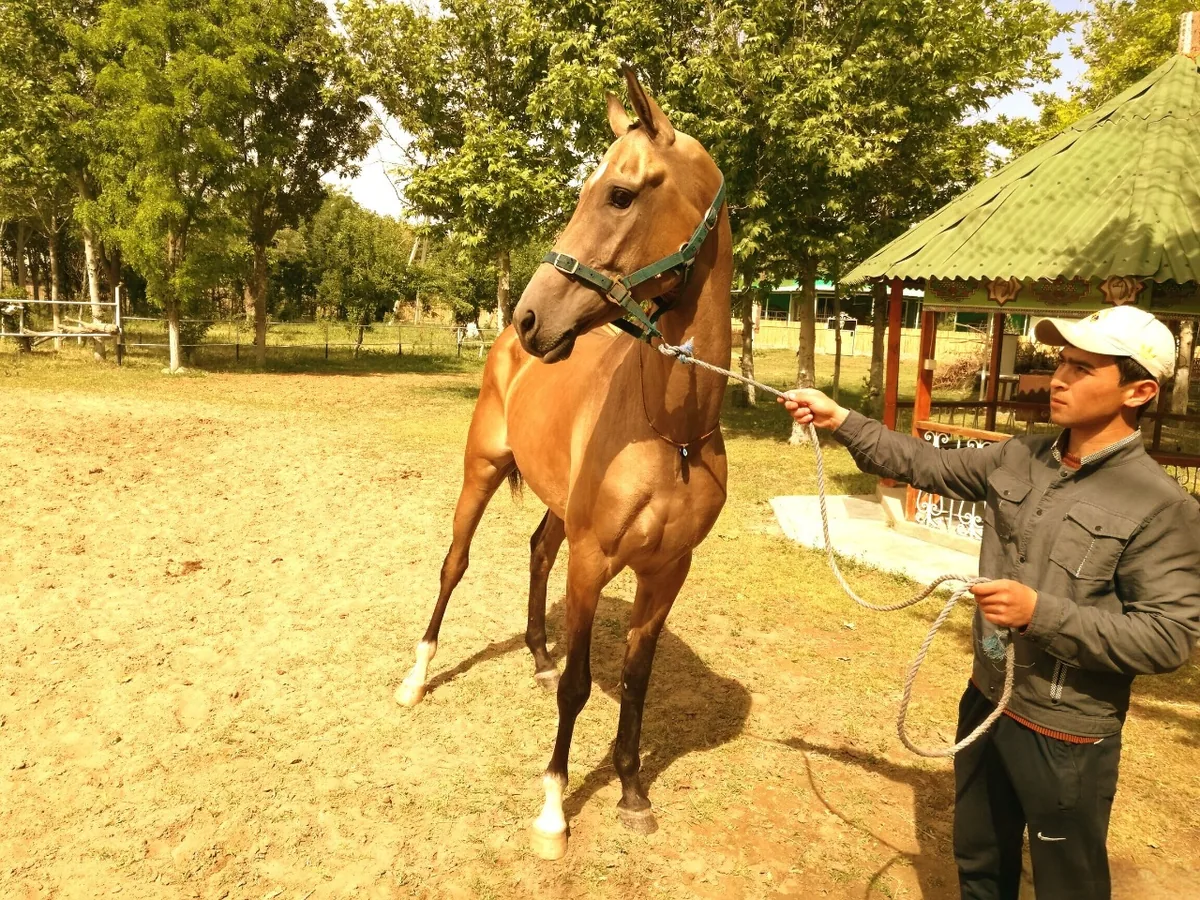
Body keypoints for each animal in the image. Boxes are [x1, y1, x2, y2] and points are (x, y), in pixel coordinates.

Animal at [394, 66, 733, 861]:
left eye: (620, 194)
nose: (530, 318)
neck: (673, 434)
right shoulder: (594, 559)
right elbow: (583, 685)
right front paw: (553, 807)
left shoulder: (667, 572)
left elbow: (636, 680)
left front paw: (633, 791)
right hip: (482, 471)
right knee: (454, 564)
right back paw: (417, 677)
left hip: (556, 506)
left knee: (536, 549)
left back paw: (537, 654)